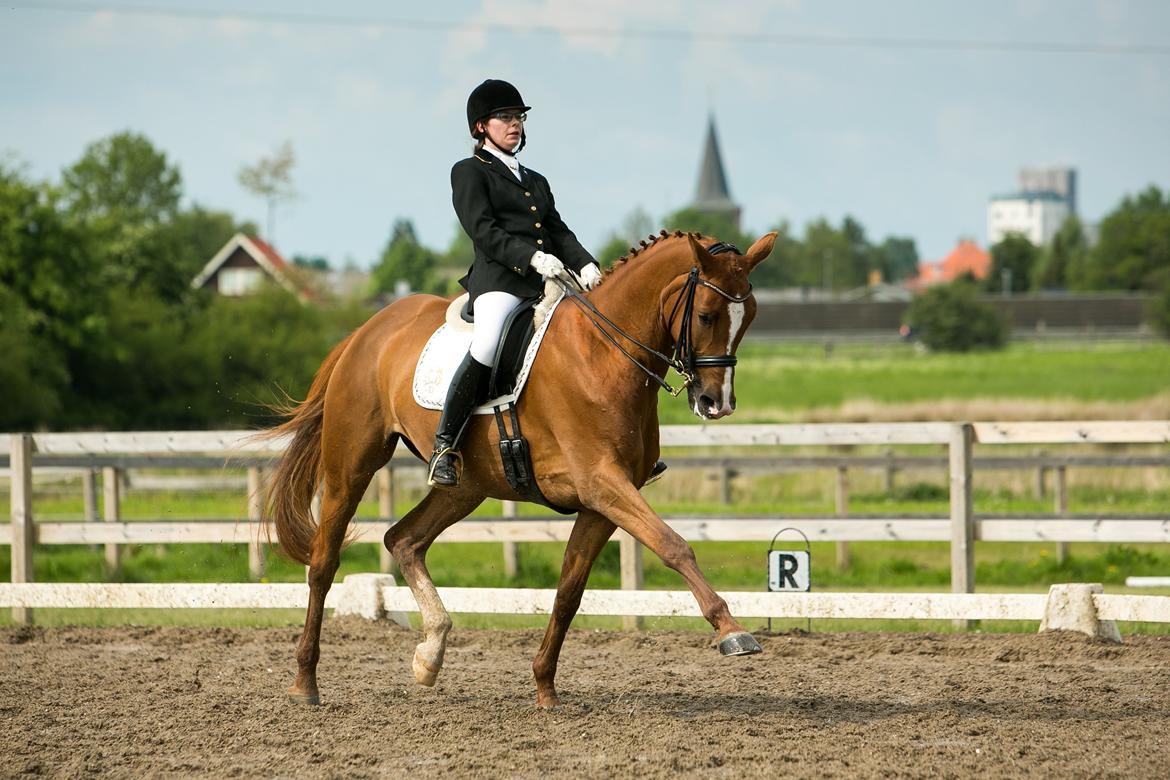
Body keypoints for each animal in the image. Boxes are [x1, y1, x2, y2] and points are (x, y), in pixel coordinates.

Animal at [263, 226, 776, 706]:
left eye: (749, 316)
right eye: (706, 315)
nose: (716, 404)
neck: (603, 352)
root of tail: (367, 331)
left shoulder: (601, 501)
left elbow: (570, 589)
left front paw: (545, 686)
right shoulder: (602, 484)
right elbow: (674, 546)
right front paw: (732, 631)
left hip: (466, 486)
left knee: (403, 540)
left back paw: (430, 654)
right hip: (351, 466)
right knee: (323, 562)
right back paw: (305, 682)